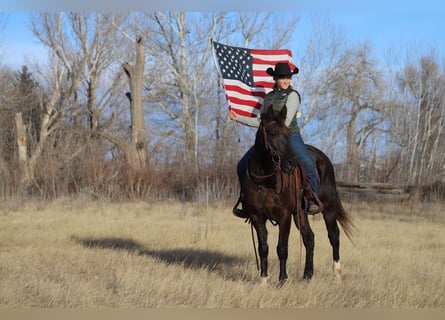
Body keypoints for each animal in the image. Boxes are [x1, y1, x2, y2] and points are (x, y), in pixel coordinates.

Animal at [239, 104, 354, 284]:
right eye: (272, 133)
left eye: (288, 133)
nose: (290, 163)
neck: (265, 181)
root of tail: (324, 158)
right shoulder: (257, 216)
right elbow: (263, 247)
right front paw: (264, 280)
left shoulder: (284, 216)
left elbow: (281, 248)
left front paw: (282, 280)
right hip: (300, 213)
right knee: (309, 238)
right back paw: (307, 275)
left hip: (328, 208)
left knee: (334, 236)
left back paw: (336, 274)